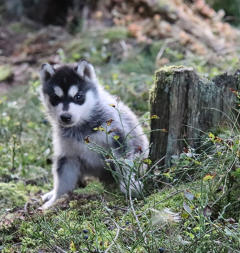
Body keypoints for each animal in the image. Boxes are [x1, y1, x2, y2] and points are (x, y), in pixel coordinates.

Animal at [39, 60, 148, 209]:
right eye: (55, 97)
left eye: (78, 96)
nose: (65, 117)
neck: (81, 127)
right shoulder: (67, 154)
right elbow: (63, 180)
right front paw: (55, 200)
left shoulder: (117, 138)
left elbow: (124, 163)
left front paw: (130, 185)